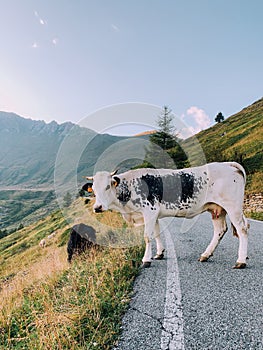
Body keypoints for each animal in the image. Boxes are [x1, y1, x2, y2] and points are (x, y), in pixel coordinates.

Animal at [84, 163, 250, 270]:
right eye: (93, 190)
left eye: (107, 186)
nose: (97, 208)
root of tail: (229, 164)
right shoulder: (154, 214)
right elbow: (157, 234)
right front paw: (159, 253)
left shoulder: (149, 211)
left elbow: (147, 236)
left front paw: (146, 260)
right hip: (217, 209)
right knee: (220, 230)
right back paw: (205, 255)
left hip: (232, 207)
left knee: (242, 229)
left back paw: (240, 261)